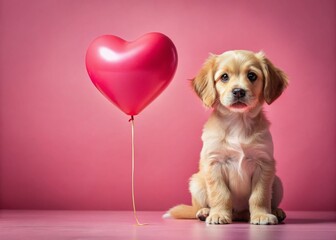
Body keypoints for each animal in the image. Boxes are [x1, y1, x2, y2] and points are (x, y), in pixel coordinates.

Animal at [165, 49, 288, 224]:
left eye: (252, 76)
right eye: (224, 77)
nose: (238, 91)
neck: (238, 121)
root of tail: (238, 214)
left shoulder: (264, 164)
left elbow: (260, 195)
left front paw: (261, 215)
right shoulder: (214, 163)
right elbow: (221, 194)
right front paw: (219, 214)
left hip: (277, 182)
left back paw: (275, 211)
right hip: (196, 182)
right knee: (197, 207)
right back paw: (205, 212)